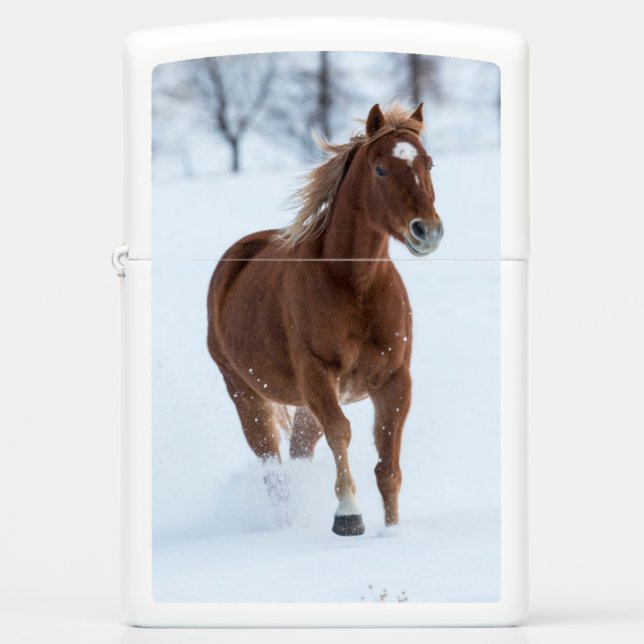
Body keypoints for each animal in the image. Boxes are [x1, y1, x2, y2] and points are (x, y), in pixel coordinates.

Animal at [207, 103, 443, 536]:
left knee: (299, 453)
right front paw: (348, 516)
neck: (355, 283)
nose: (427, 231)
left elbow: (388, 466)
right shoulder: (317, 373)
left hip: (303, 405)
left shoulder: (394, 380)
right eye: (380, 169)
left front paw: (393, 531)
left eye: (429, 163)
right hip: (247, 396)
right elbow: (341, 433)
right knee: (272, 468)